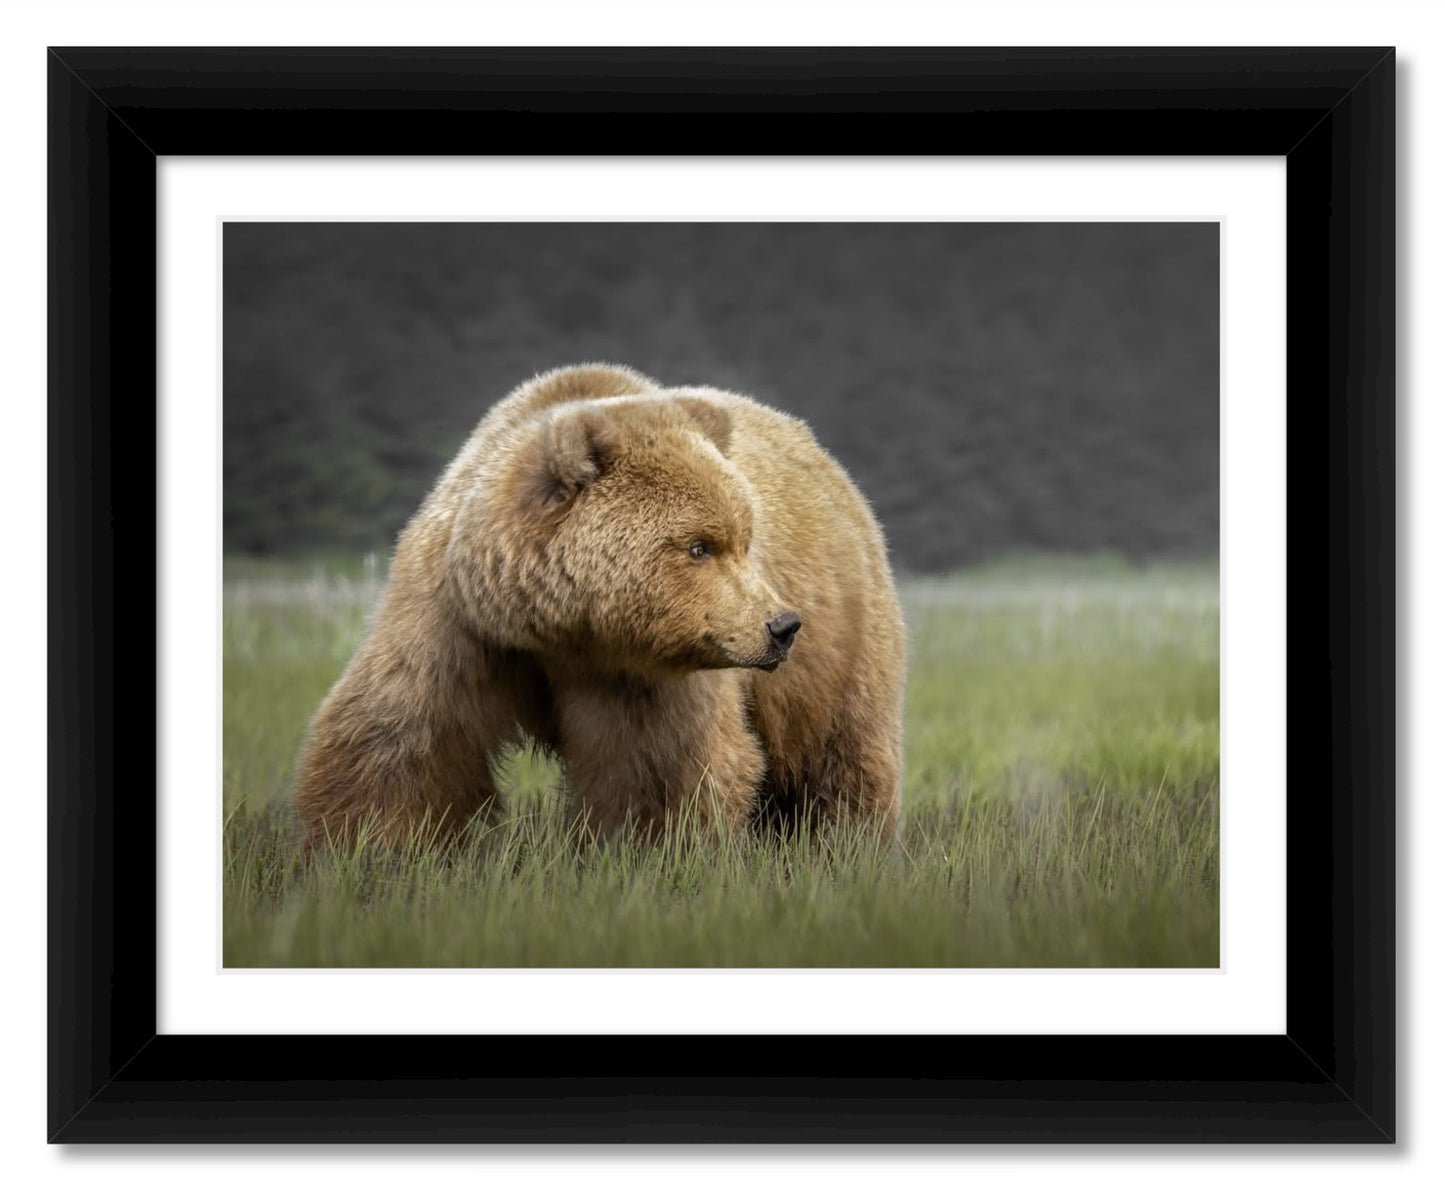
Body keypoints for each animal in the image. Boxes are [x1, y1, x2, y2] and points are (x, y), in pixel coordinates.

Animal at [291, 364, 906, 849]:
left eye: (744, 541)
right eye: (699, 546)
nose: (781, 625)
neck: (557, 627)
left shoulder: (641, 673)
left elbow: (659, 768)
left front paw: (650, 853)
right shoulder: (458, 621)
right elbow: (400, 738)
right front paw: (363, 850)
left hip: (844, 642)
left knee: (842, 754)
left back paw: (845, 844)